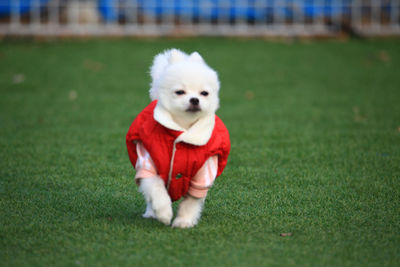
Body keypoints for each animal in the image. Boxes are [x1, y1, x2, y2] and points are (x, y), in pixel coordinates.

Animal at [126, 48, 230, 228]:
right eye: (180, 92)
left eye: (204, 93)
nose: (194, 99)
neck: (182, 128)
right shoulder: (147, 165)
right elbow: (156, 189)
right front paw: (164, 213)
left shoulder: (203, 173)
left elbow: (191, 201)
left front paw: (184, 221)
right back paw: (151, 212)